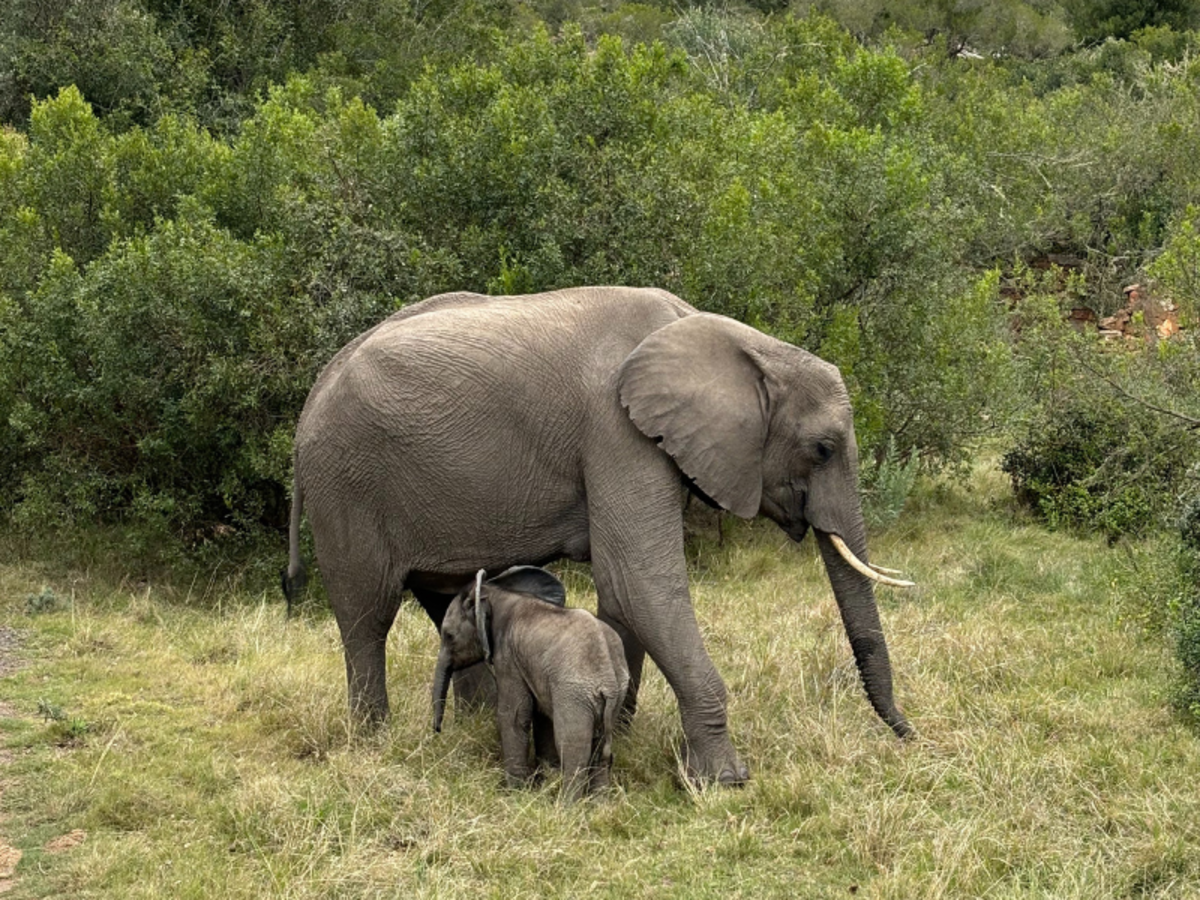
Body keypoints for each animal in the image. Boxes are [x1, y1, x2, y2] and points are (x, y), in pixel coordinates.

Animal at [432, 566, 629, 801]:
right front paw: (543, 781)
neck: (496, 592)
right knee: (600, 748)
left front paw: (514, 794)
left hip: (575, 693)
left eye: (449, 636)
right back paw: (600, 804)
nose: (437, 730)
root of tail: (608, 679)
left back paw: (566, 806)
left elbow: (514, 716)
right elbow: (541, 715)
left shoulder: (508, 657)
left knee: (573, 746)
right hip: (615, 694)